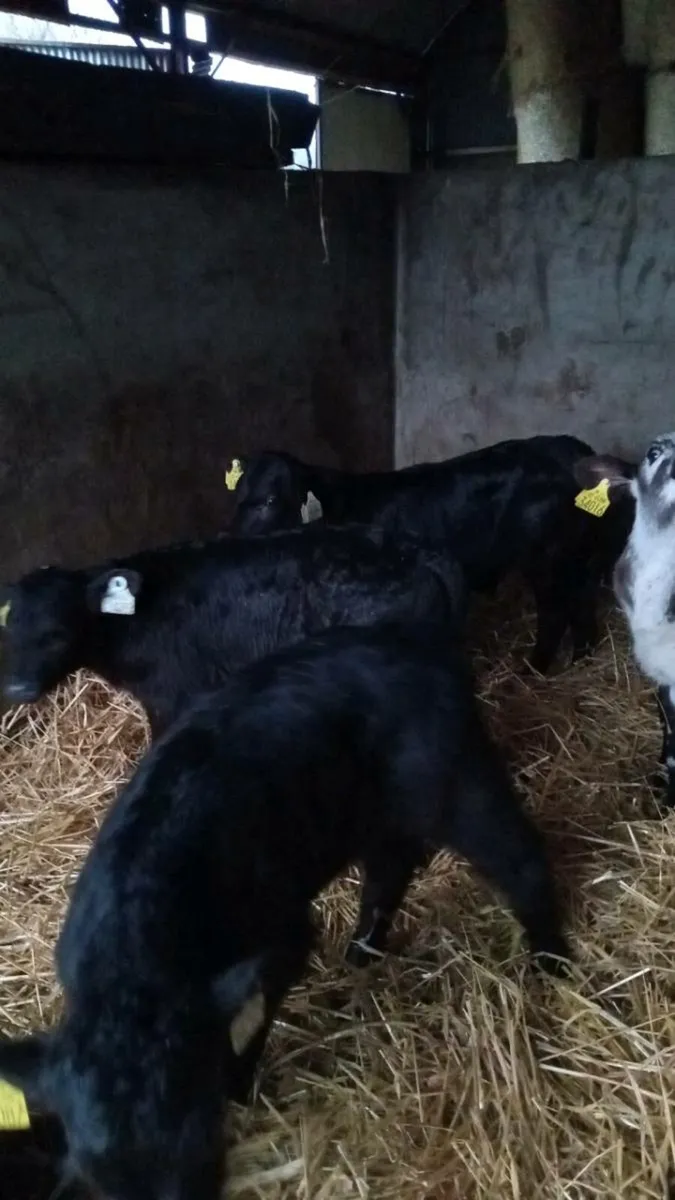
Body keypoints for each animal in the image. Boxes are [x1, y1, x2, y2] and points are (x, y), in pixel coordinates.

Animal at [0, 621, 569, 1200]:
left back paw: (552, 961)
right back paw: (362, 951)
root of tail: (417, 645)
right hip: (376, 810)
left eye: (205, 1140)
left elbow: (254, 1015)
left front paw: (240, 1083)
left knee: (518, 857)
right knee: (392, 864)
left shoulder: (283, 935)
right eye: (96, 1177)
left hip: (454, 777)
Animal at [226, 437, 635, 674]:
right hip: (576, 557)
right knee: (581, 601)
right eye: (238, 495)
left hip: (546, 556)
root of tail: (573, 450)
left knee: (554, 611)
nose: (230, 538)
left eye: (270, 500)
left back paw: (533, 669)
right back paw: (581, 659)